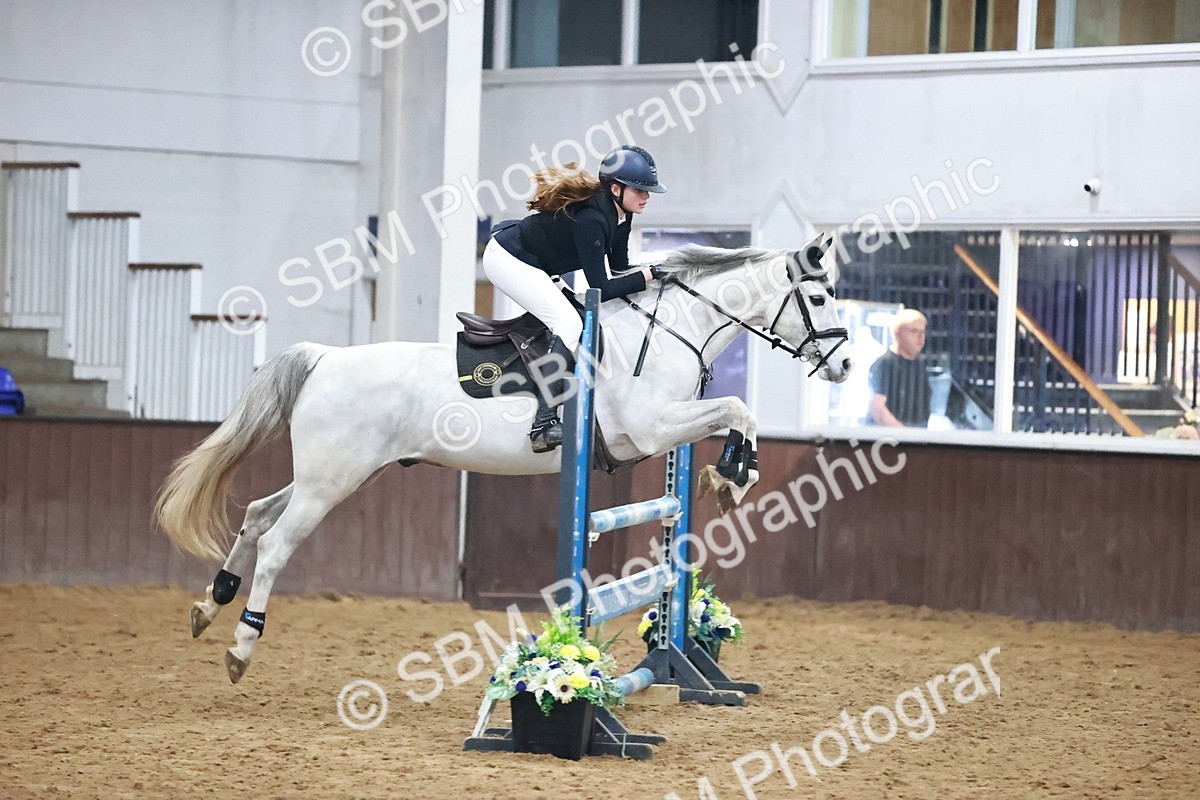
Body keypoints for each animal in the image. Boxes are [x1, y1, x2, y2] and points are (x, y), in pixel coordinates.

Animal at [155, 238, 851, 683]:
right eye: (820, 301)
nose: (844, 365)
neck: (671, 328)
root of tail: (326, 357)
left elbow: (736, 412)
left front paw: (728, 475)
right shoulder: (649, 429)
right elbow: (739, 409)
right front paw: (734, 475)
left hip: (332, 475)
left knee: (256, 513)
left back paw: (207, 606)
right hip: (331, 481)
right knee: (277, 544)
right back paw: (241, 646)